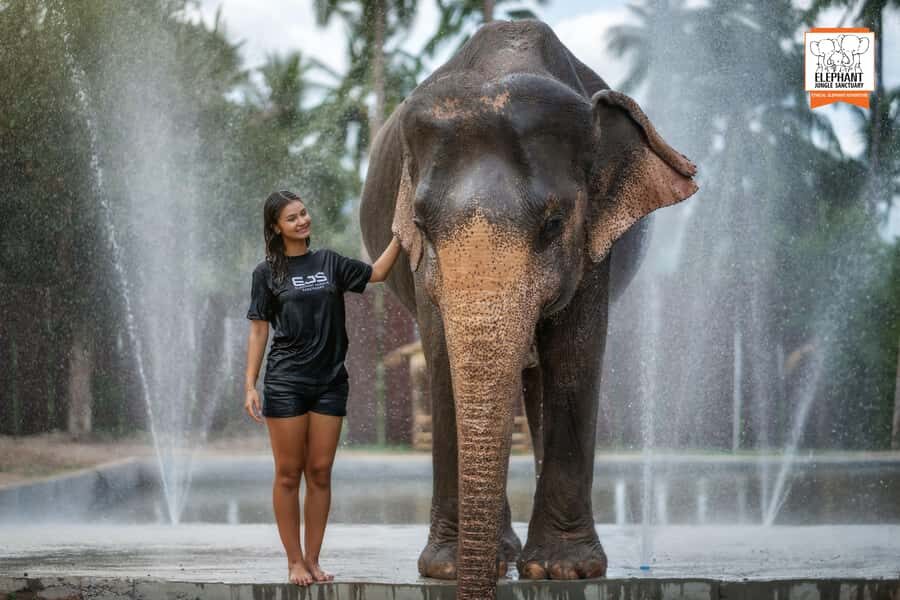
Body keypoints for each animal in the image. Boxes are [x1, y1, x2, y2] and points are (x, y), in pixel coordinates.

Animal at [360, 19, 698, 600]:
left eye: (554, 224)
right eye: (420, 225)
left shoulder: (594, 245)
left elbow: (575, 356)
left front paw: (566, 571)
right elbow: (442, 360)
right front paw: (447, 569)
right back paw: (502, 555)